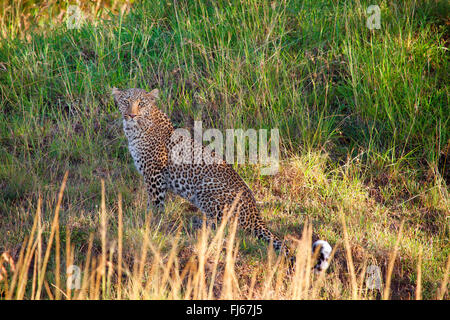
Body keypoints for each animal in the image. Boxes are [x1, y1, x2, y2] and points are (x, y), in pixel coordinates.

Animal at [111, 86, 332, 272]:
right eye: (126, 102)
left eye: (141, 103)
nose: (131, 114)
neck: (135, 129)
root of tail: (256, 215)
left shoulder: (155, 174)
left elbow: (156, 203)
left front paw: (151, 221)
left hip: (206, 188)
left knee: (226, 228)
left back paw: (196, 225)